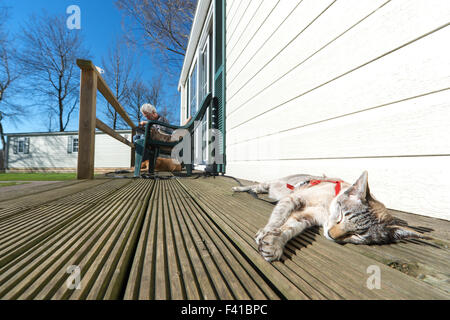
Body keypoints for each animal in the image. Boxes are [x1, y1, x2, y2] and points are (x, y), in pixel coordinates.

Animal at [232, 171, 426, 262]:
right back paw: (238, 187)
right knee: (254, 186)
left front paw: (273, 244)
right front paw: (265, 232)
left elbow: (288, 229)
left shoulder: (304, 216)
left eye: (358, 235)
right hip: (269, 184)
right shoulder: (294, 199)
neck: (327, 208)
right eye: (341, 215)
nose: (332, 235)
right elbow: (278, 219)